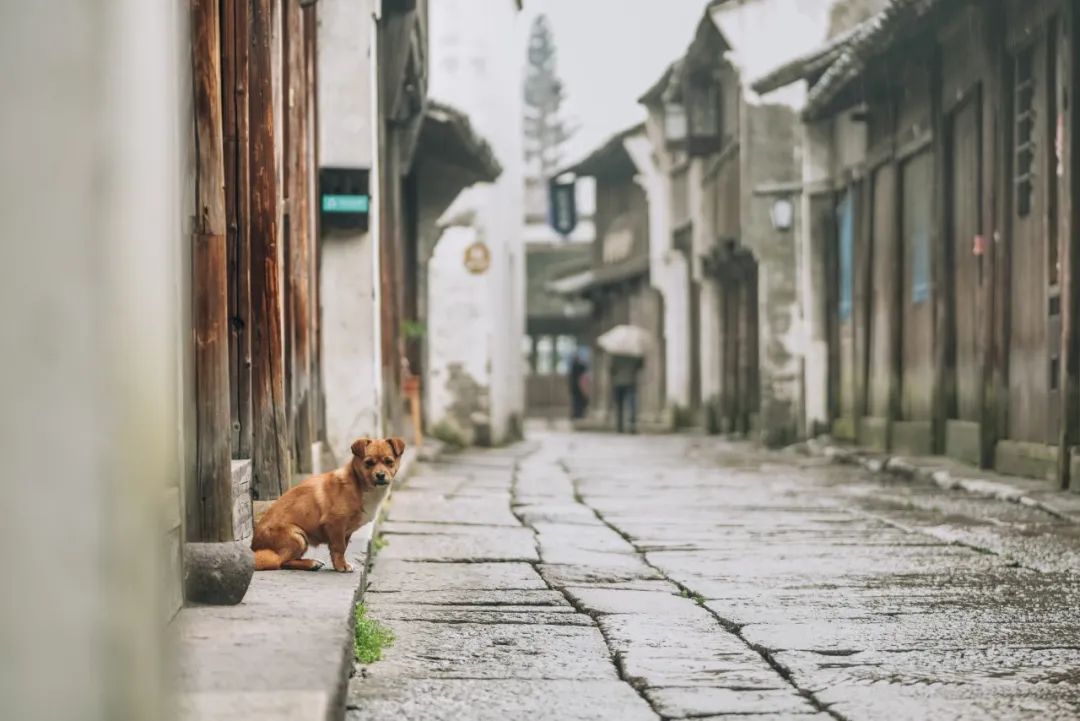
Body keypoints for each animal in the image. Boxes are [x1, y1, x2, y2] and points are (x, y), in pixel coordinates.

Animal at [251, 436, 406, 569]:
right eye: (369, 463)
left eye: (389, 462)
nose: (380, 475)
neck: (359, 485)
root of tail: (254, 544)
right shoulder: (335, 524)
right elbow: (339, 548)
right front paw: (341, 566)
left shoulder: (345, 531)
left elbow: (342, 547)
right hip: (297, 536)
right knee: (282, 562)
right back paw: (310, 563)